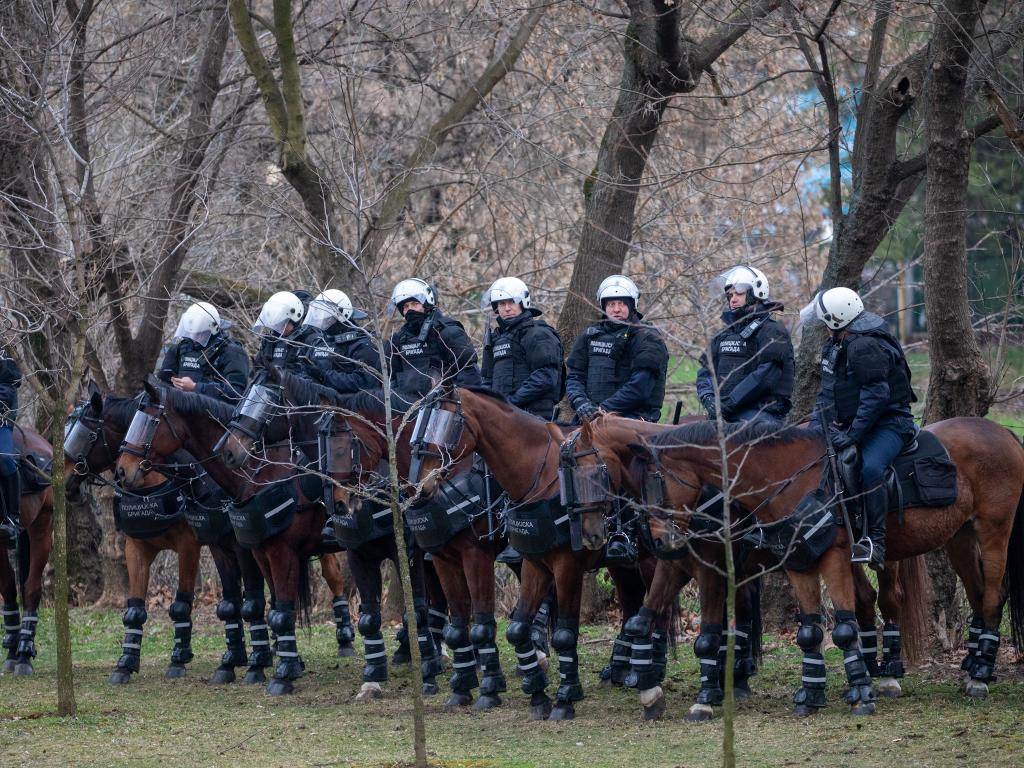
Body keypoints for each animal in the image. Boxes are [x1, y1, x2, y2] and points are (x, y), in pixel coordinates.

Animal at [220, 372, 448, 704]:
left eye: (266, 402)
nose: (229, 451)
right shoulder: (343, 553)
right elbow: (364, 617)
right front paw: (371, 678)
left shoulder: (406, 552)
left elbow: (416, 609)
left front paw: (427, 673)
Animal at [409, 391, 659, 720]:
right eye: (417, 425)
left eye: (445, 426)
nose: (420, 488)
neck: (540, 477)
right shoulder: (454, 559)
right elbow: (484, 628)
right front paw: (478, 688)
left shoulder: (495, 558)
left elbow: (494, 627)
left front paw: (499, 689)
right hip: (622, 565)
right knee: (631, 607)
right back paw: (620, 671)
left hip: (649, 559)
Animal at [614, 415, 1024, 716]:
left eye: (657, 484)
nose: (659, 541)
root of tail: (1003, 431)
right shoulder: (793, 562)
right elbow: (809, 632)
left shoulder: (821, 559)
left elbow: (837, 628)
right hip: (959, 537)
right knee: (973, 594)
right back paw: (968, 667)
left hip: (992, 531)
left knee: (984, 597)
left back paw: (974, 676)